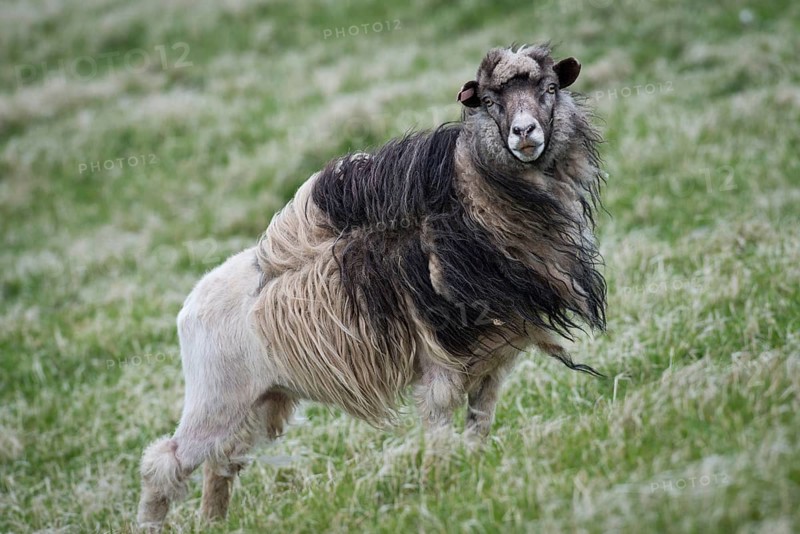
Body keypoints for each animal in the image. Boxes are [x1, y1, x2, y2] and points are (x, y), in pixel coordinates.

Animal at [137, 43, 607, 531]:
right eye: (490, 102)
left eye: (550, 88)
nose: (524, 132)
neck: (474, 210)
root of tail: (189, 304)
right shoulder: (440, 365)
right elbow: (440, 431)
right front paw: (439, 488)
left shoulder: (492, 364)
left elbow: (478, 428)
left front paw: (473, 475)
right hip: (216, 400)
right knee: (163, 464)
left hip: (260, 401)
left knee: (221, 461)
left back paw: (214, 521)